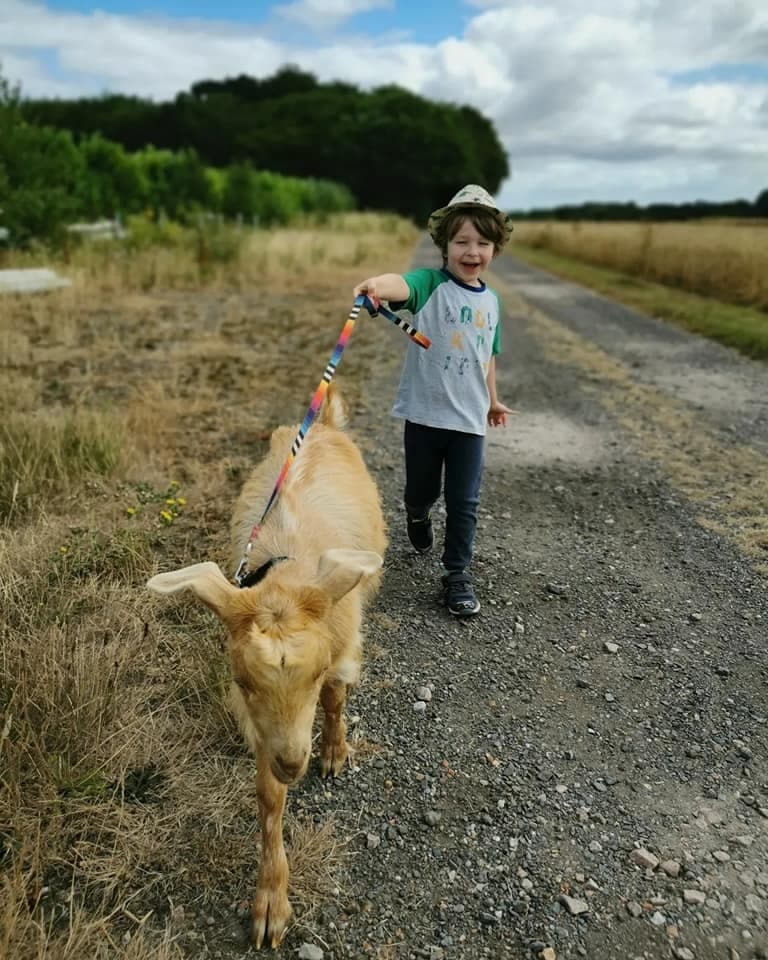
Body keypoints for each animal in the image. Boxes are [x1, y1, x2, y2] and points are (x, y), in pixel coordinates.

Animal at [147, 386, 387, 948]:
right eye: (241, 680)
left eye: (316, 673)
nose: (293, 763)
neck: (290, 568)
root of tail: (322, 423)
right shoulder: (262, 726)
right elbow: (269, 800)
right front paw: (271, 903)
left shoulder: (342, 649)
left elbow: (336, 700)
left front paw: (334, 753)